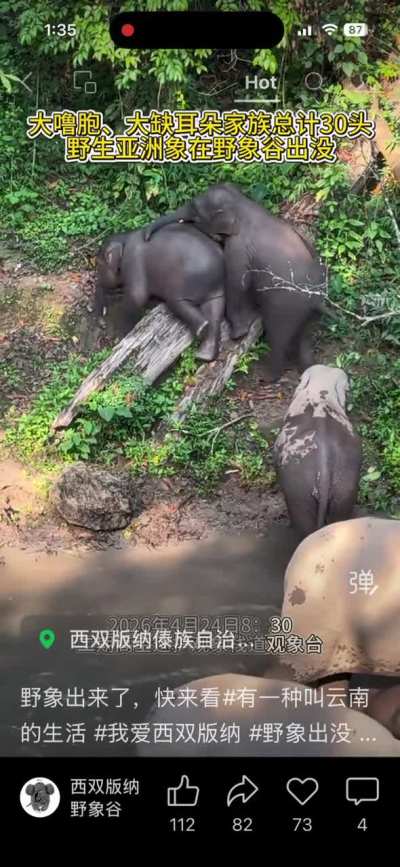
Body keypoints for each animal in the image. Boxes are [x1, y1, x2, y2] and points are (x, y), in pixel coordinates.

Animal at [95, 223, 225, 362]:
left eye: (99, 264)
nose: (102, 323)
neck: (124, 239)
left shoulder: (133, 261)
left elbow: (137, 296)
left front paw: (124, 333)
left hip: (183, 285)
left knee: (178, 303)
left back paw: (202, 329)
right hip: (217, 291)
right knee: (215, 314)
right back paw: (204, 354)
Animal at [144, 182, 331, 381]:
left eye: (195, 210)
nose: (146, 237)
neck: (242, 203)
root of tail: (317, 300)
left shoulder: (238, 247)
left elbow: (238, 282)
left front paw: (238, 335)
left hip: (286, 306)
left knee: (278, 336)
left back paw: (267, 378)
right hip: (308, 313)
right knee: (305, 337)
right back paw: (308, 368)